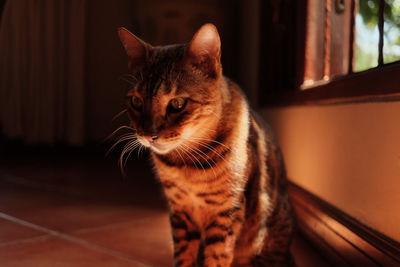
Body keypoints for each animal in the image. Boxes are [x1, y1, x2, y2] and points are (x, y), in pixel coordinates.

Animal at [117, 23, 296, 267]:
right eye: (136, 101)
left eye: (177, 103)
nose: (148, 135)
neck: (186, 165)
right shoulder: (181, 210)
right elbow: (184, 255)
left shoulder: (227, 212)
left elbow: (218, 256)